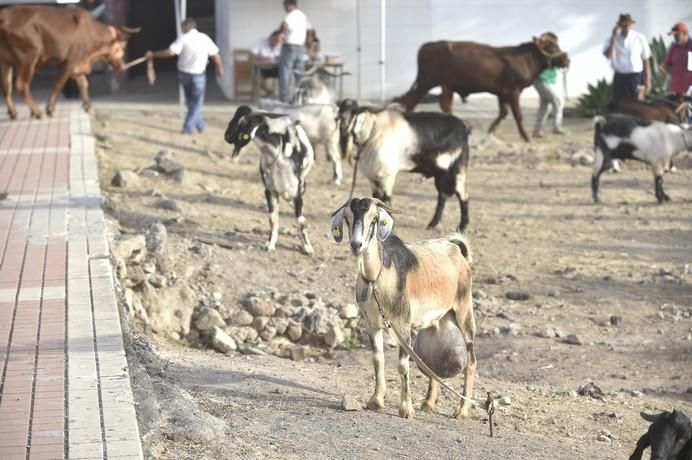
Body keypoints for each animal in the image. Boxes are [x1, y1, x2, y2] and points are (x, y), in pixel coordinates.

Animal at [0, 5, 139, 119]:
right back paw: (37, 112)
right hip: (28, 58)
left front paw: (88, 106)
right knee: (21, 85)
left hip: (5, 61)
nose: (123, 65)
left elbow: (84, 83)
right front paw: (50, 110)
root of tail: (5, 15)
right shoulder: (69, 62)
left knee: (6, 86)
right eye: (121, 47)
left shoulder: (76, 64)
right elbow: (59, 85)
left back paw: (13, 112)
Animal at [226, 105, 314, 255]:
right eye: (234, 117)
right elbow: (272, 219)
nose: (227, 137)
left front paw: (307, 247)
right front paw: (270, 245)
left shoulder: (296, 194)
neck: (279, 157)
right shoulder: (270, 191)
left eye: (243, 123)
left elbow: (300, 221)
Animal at [330, 196, 476, 418]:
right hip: (438, 320)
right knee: (431, 362)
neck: (376, 278)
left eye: (374, 219)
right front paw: (376, 400)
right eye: (347, 218)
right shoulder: (372, 324)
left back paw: (461, 410)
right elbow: (378, 360)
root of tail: (459, 251)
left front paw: (406, 409)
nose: (356, 245)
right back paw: (428, 403)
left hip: (463, 310)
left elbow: (402, 366)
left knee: (471, 360)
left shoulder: (402, 324)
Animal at [392, 33, 572, 141]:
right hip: (426, 82)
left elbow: (503, 112)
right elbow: (517, 115)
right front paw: (526, 136)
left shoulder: (502, 93)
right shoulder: (513, 91)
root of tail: (428, 45)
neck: (524, 59)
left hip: (445, 85)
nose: (567, 60)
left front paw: (491, 130)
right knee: (412, 101)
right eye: (552, 47)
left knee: (444, 104)